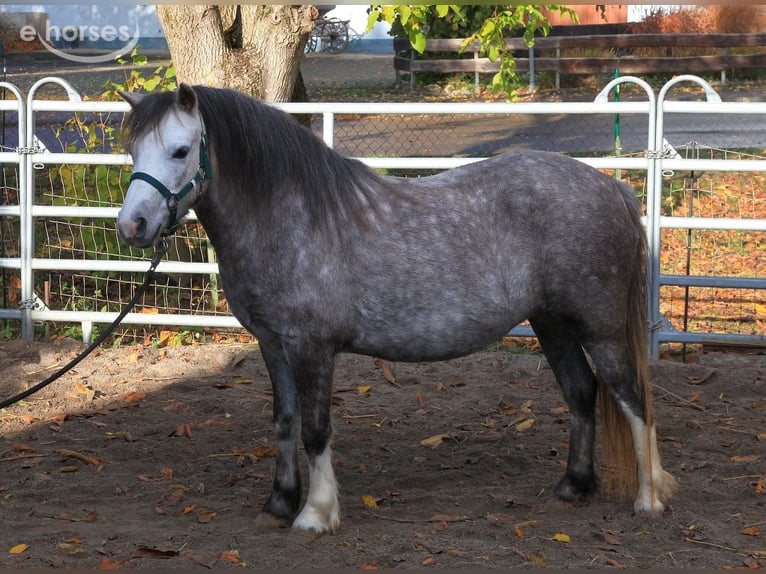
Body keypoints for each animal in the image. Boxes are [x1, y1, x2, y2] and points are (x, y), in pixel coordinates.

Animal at [116, 84, 677, 534]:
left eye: (180, 150)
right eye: (132, 150)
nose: (132, 226)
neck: (291, 216)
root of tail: (612, 187)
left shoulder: (312, 348)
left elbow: (316, 428)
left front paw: (316, 514)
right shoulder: (274, 346)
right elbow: (285, 421)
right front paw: (278, 502)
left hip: (601, 329)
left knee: (632, 398)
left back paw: (650, 498)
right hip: (551, 323)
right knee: (581, 393)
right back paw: (574, 485)